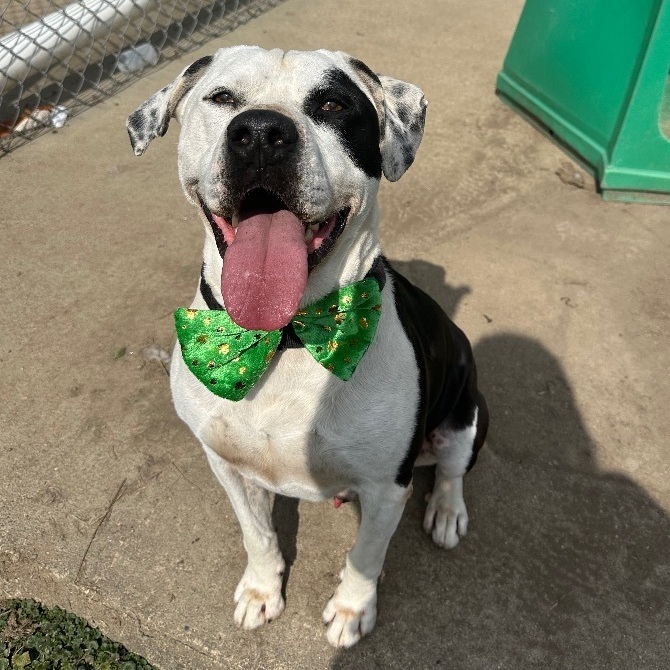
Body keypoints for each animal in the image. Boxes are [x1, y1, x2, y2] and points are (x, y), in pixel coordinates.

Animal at [127, 47, 488, 652]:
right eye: (221, 97)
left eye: (333, 104)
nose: (260, 132)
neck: (288, 336)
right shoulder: (225, 464)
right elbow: (257, 534)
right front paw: (261, 590)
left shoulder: (388, 487)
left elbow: (365, 556)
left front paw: (351, 609)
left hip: (467, 410)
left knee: (454, 469)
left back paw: (444, 512)